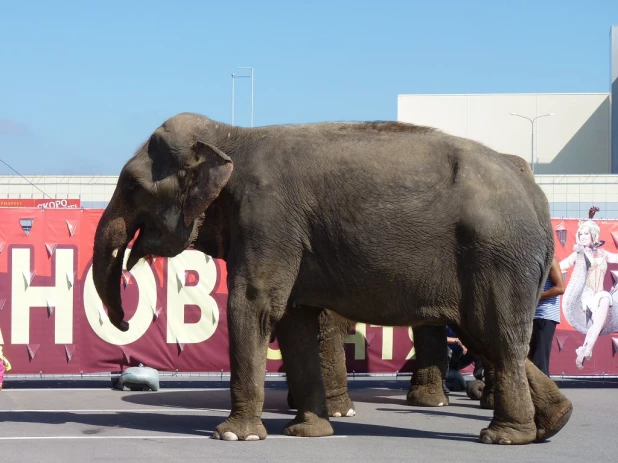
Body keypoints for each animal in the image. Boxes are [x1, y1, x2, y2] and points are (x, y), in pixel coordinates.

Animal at [92, 113, 572, 446]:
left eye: (132, 187)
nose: (123, 321)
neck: (231, 135)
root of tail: (537, 198)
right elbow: (294, 319)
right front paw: (309, 432)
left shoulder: (268, 219)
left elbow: (253, 304)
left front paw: (233, 436)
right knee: (488, 337)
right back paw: (554, 422)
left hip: (497, 256)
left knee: (496, 337)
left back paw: (504, 437)